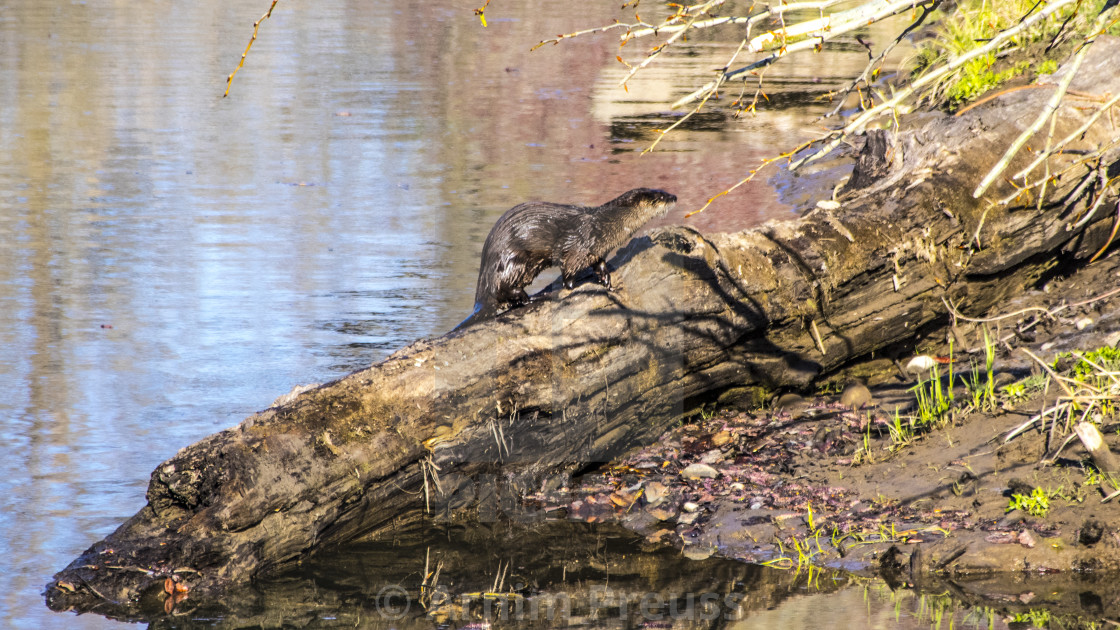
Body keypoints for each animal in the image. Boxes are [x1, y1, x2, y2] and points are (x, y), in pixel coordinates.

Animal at [454, 187, 672, 329]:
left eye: (664, 191)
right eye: (661, 197)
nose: (675, 196)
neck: (604, 227)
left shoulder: (597, 251)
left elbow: (600, 265)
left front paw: (607, 281)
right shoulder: (578, 247)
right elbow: (568, 274)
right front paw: (575, 284)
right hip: (514, 260)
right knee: (505, 288)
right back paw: (532, 297)